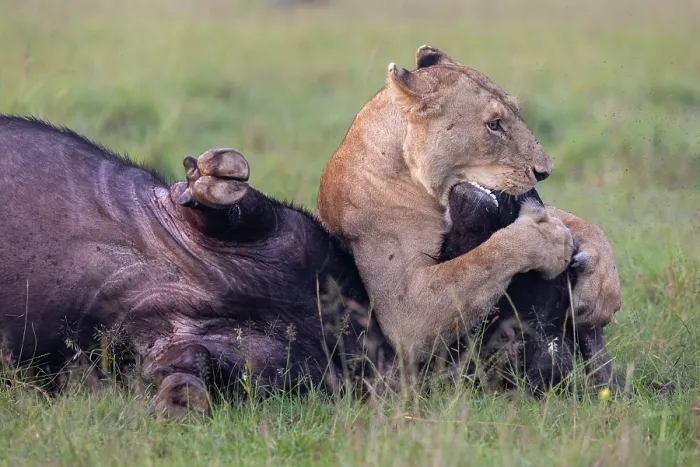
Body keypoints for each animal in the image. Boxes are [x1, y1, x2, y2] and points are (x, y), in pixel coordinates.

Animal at [315, 45, 621, 367]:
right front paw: (549, 239)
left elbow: (583, 225)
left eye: (516, 113)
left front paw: (603, 287)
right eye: (494, 125)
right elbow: (484, 259)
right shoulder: (405, 313)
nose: (545, 171)